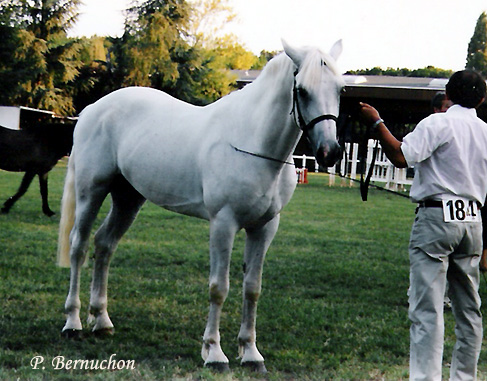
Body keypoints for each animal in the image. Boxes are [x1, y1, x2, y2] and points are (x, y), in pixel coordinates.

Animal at [57, 40, 346, 370]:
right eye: (302, 90)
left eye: (340, 89)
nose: (329, 152)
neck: (251, 143)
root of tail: (92, 109)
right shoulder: (223, 223)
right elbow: (219, 288)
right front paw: (214, 352)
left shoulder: (264, 227)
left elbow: (252, 288)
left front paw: (250, 352)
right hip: (91, 191)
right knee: (79, 247)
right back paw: (73, 322)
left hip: (128, 198)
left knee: (104, 245)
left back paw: (102, 320)